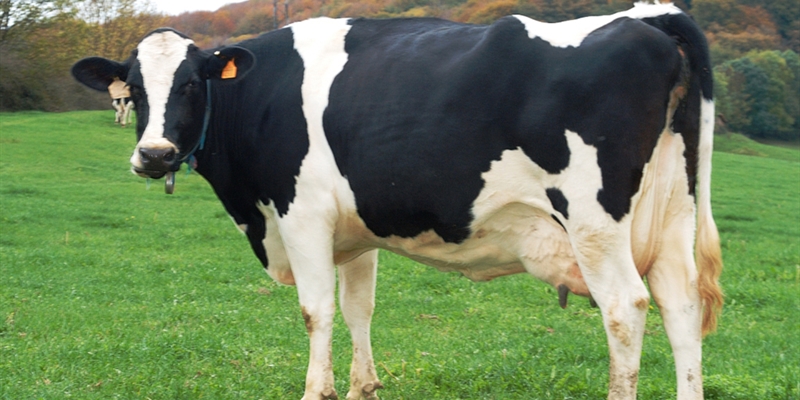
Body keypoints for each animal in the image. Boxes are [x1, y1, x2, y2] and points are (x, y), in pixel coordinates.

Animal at [72, 2, 724, 396]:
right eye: (132, 89)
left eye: (190, 84)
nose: (155, 155)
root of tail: (648, 18)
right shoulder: (355, 231)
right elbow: (358, 308)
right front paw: (362, 387)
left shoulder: (302, 215)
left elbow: (317, 310)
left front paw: (318, 389)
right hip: (672, 214)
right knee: (682, 307)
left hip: (595, 222)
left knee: (626, 309)